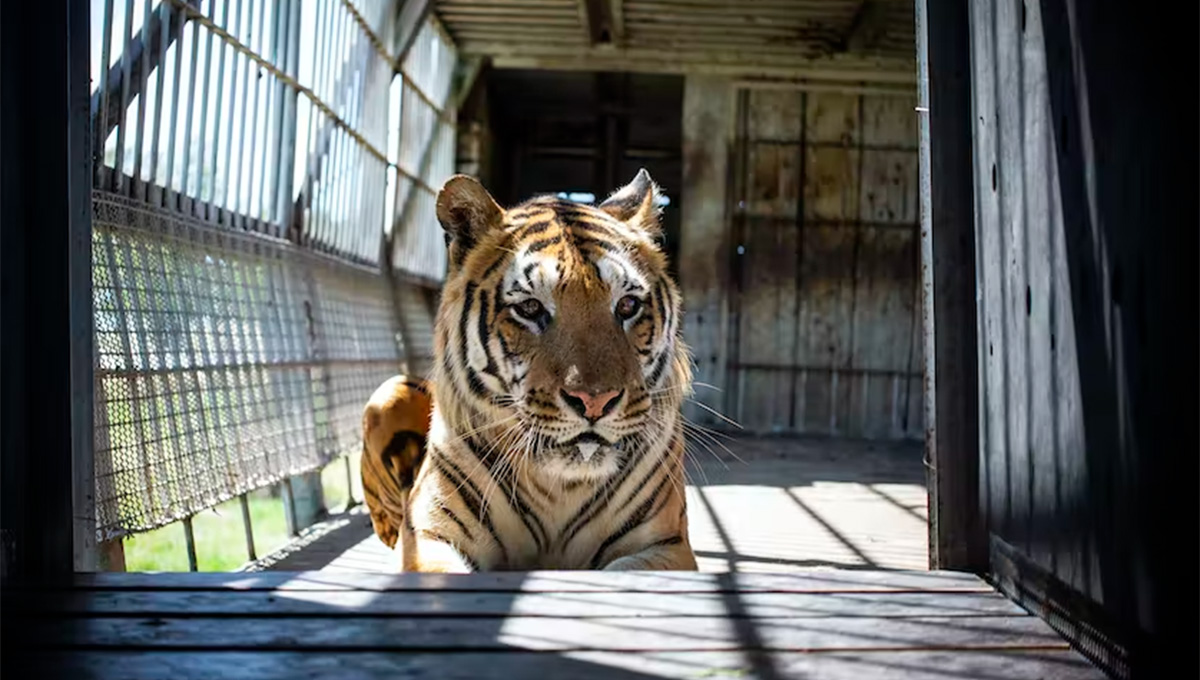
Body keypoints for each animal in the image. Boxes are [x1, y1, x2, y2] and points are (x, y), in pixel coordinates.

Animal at [357, 167, 696, 573]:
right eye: (530, 308)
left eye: (627, 305)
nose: (595, 402)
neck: (561, 488)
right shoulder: (429, 535)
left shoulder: (666, 544)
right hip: (388, 395)